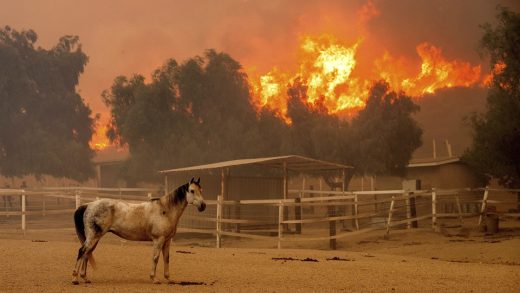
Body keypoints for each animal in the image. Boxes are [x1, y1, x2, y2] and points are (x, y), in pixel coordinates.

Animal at [71, 176, 205, 282]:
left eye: (201, 190)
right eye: (192, 191)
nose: (203, 206)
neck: (165, 210)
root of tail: (88, 205)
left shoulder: (167, 241)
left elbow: (166, 258)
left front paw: (168, 278)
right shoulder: (158, 240)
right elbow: (155, 258)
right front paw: (154, 278)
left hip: (94, 238)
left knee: (87, 253)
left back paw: (85, 278)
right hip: (93, 237)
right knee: (82, 251)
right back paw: (75, 278)